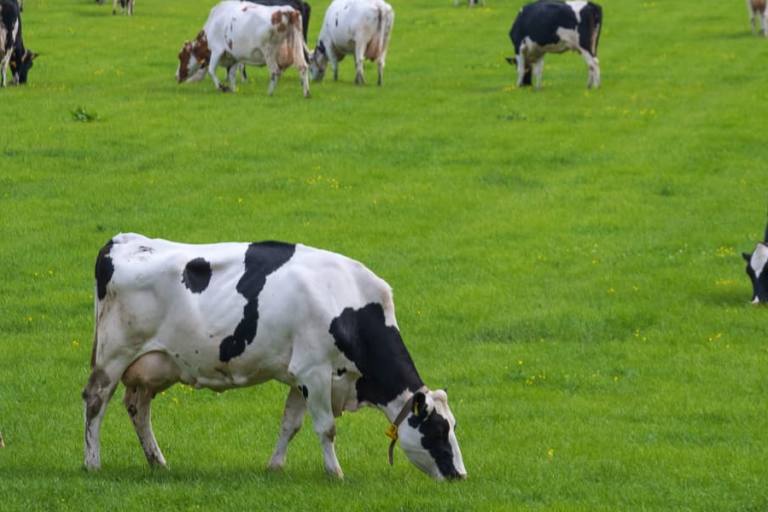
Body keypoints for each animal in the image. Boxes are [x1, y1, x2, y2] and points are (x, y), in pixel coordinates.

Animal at [82, 233, 467, 480]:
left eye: (452, 426)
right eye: (437, 429)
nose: (459, 475)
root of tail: (121, 241)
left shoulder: (300, 376)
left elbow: (289, 424)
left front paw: (275, 466)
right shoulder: (315, 371)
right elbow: (326, 428)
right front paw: (335, 473)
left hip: (154, 366)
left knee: (138, 407)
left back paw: (157, 462)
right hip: (113, 355)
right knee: (95, 401)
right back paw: (92, 463)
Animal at [176, 1, 309, 96]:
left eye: (181, 56)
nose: (176, 76)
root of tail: (287, 10)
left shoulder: (217, 50)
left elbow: (211, 70)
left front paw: (222, 87)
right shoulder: (235, 56)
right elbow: (232, 74)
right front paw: (234, 90)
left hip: (269, 51)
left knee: (275, 71)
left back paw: (269, 94)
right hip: (297, 46)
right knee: (302, 67)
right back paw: (306, 94)